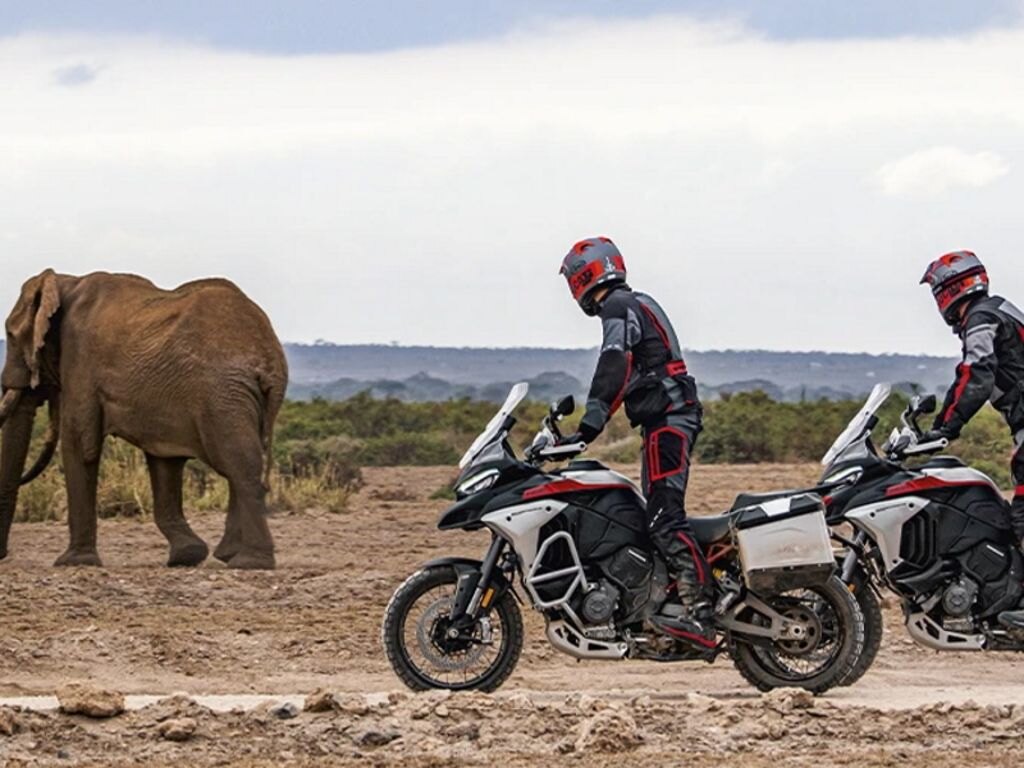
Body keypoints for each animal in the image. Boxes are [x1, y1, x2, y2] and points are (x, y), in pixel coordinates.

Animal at [0, 270, 288, 573]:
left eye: (10, 334)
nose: (3, 555)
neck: (66, 281)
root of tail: (270, 359)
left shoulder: (80, 362)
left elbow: (80, 444)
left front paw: (73, 562)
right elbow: (164, 461)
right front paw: (187, 555)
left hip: (223, 394)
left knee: (240, 464)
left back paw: (250, 562)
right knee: (237, 464)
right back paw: (228, 554)